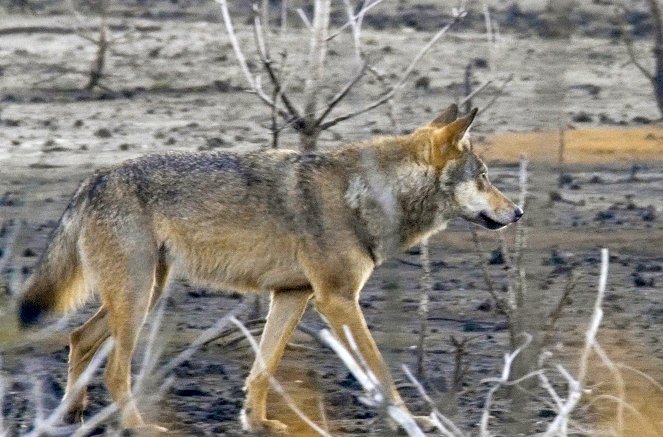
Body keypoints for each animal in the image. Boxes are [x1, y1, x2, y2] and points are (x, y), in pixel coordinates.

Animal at [16, 104, 524, 432]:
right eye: (484, 177)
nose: (517, 212)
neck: (369, 195)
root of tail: (92, 178)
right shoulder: (338, 300)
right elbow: (380, 370)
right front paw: (406, 418)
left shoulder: (292, 295)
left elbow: (263, 367)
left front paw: (256, 421)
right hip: (139, 300)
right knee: (114, 371)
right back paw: (137, 426)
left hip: (143, 295)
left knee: (78, 337)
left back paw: (70, 416)